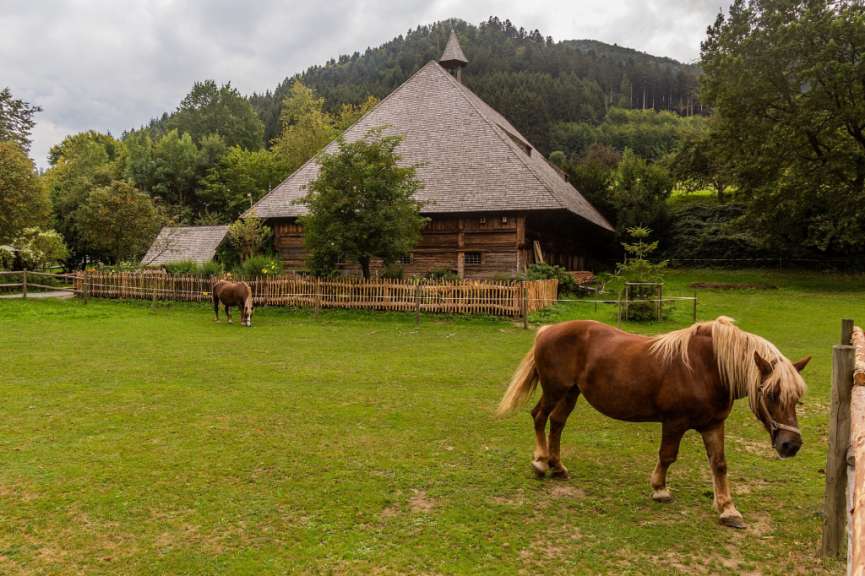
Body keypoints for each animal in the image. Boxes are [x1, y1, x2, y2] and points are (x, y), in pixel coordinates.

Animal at [497, 316, 809, 528]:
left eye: (797, 398)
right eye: (771, 393)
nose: (791, 445)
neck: (707, 368)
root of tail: (548, 329)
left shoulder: (713, 424)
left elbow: (719, 465)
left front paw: (727, 509)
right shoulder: (674, 423)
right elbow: (667, 456)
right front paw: (660, 489)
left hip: (571, 392)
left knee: (557, 423)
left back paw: (557, 466)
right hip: (555, 389)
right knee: (540, 417)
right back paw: (540, 463)